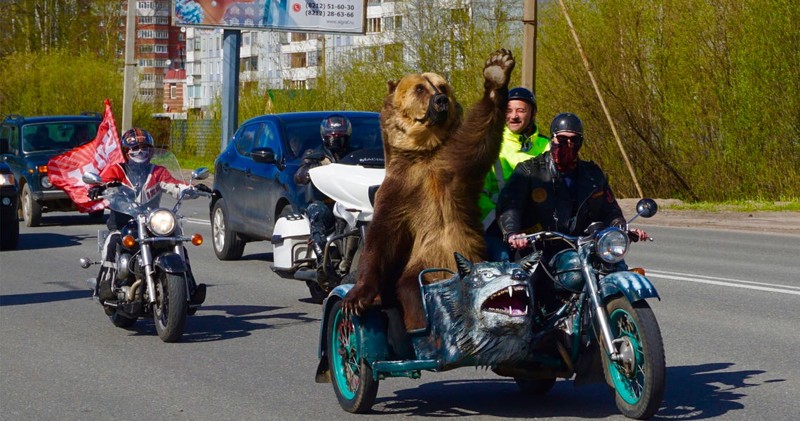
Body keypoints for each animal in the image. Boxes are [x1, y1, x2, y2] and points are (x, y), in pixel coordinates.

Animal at [340, 48, 516, 332]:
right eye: (420, 88)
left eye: (442, 86)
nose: (441, 100)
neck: (424, 153)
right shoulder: (399, 192)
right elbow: (381, 239)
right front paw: (356, 297)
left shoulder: (454, 169)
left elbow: (480, 135)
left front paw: (496, 71)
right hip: (424, 265)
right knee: (411, 290)